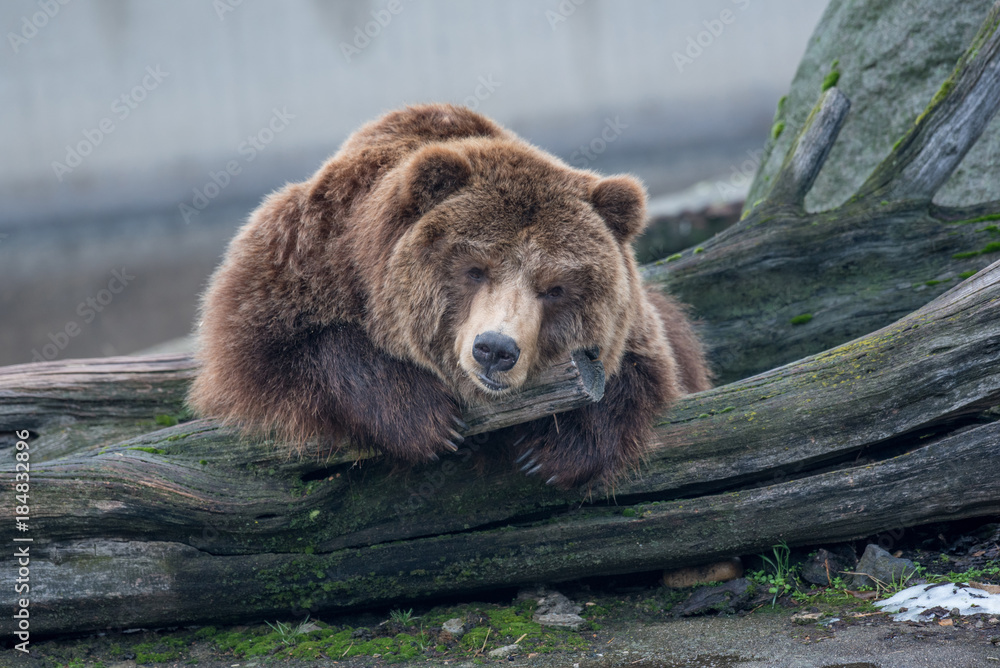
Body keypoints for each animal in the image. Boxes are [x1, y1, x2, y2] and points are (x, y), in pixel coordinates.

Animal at [188, 103, 711, 489]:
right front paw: (427, 420)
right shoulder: (307, 254)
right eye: (474, 269)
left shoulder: (638, 328)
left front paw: (554, 450)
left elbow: (645, 371)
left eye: (555, 288)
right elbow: (262, 351)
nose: (495, 349)